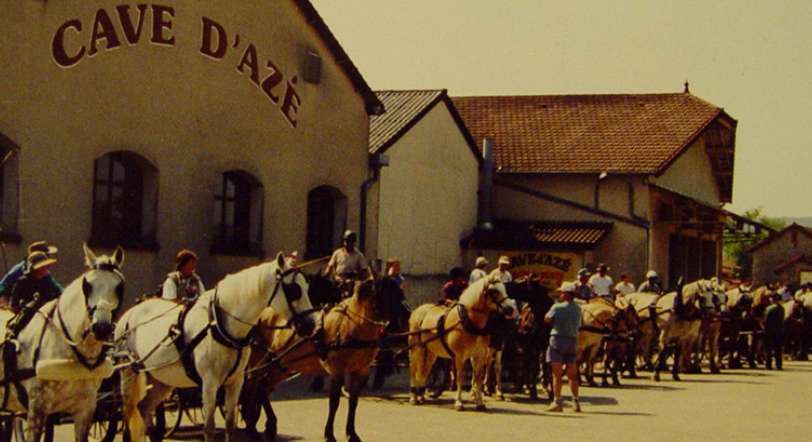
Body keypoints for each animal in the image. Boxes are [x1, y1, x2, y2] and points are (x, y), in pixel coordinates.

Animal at [114, 252, 314, 442]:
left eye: (307, 287)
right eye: (294, 290)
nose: (312, 325)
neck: (220, 325)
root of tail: (128, 315)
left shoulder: (236, 381)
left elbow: (230, 424)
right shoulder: (210, 382)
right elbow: (209, 427)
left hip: (161, 379)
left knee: (144, 409)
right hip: (129, 373)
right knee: (128, 415)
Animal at [410, 276, 510, 410]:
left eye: (504, 288)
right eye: (493, 291)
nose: (511, 309)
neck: (468, 322)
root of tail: (418, 310)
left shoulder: (479, 355)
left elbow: (478, 377)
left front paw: (479, 402)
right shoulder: (459, 356)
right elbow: (460, 378)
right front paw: (459, 402)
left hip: (431, 351)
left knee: (425, 368)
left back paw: (421, 395)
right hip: (416, 348)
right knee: (413, 367)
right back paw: (413, 396)